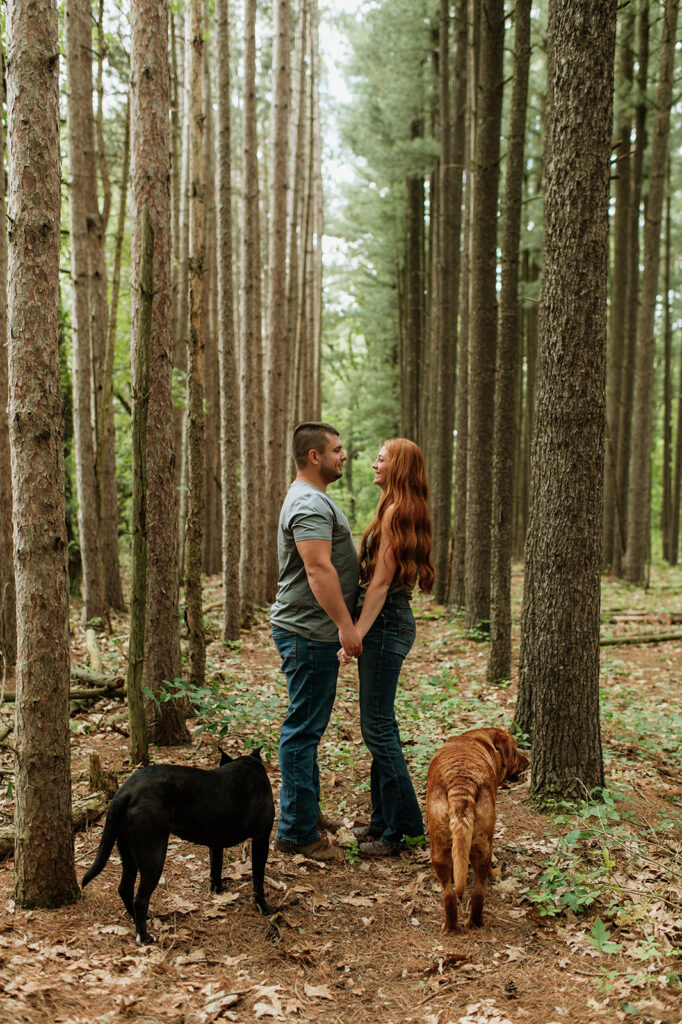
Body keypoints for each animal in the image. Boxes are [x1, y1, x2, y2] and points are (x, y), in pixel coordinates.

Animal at [83, 745, 274, 942]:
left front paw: (218, 891)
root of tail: (126, 790)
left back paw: (136, 920)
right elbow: (258, 878)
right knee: (140, 899)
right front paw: (263, 907)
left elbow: (216, 869)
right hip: (153, 856)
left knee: (125, 888)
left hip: (128, 852)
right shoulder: (261, 839)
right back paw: (145, 937)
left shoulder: (216, 843)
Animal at [425, 724, 524, 933]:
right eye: (515, 752)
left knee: (453, 894)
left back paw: (455, 926)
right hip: (482, 845)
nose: (527, 760)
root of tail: (461, 782)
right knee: (478, 890)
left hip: (439, 848)